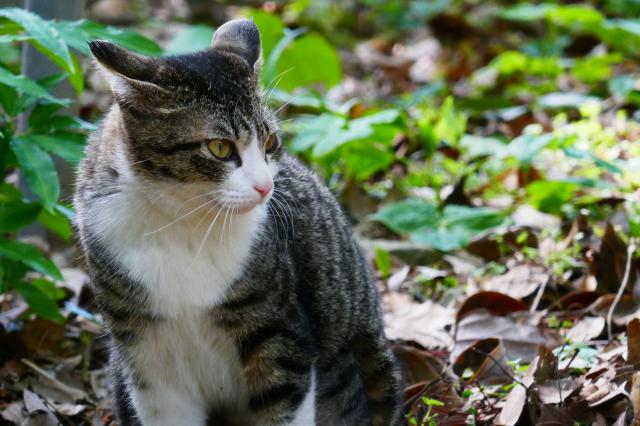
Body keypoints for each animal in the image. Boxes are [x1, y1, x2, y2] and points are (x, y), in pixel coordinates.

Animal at [74, 19, 402, 426]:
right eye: (219, 147)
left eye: (271, 142)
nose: (266, 186)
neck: (183, 223)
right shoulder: (146, 357)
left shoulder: (280, 336)